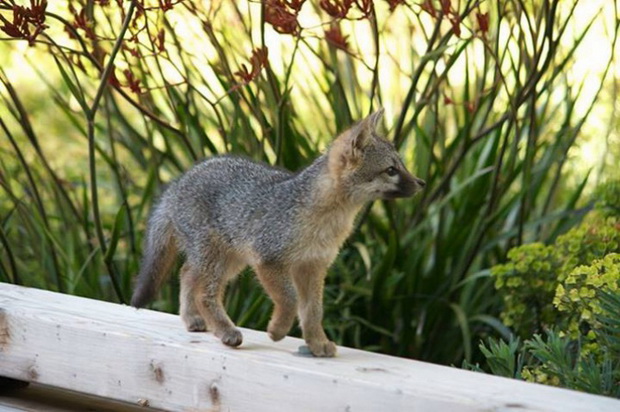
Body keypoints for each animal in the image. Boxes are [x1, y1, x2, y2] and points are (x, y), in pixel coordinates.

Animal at [131, 109, 426, 358]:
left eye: (402, 166)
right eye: (391, 170)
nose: (422, 183)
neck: (324, 220)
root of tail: (179, 181)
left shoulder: (313, 267)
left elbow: (313, 311)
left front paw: (317, 343)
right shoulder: (269, 260)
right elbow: (290, 299)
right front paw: (277, 329)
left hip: (230, 261)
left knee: (187, 273)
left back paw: (193, 319)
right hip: (217, 259)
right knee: (204, 291)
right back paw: (225, 331)